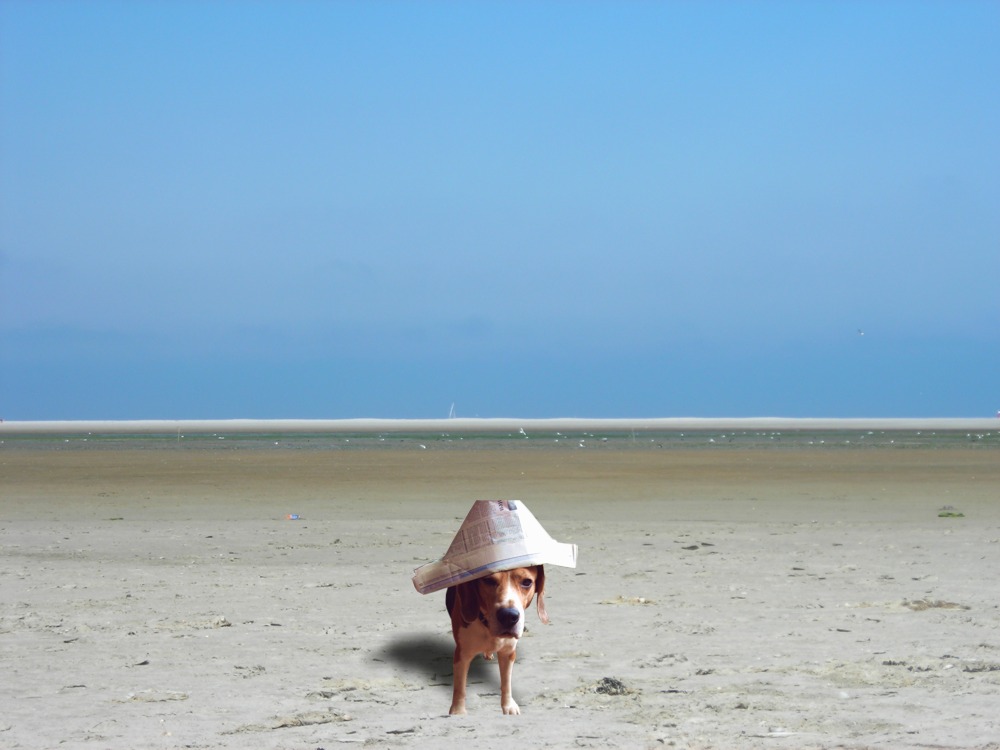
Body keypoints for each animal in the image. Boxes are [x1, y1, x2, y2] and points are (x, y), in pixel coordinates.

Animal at [448, 568, 552, 720]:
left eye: (527, 582)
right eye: (488, 580)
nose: (509, 616)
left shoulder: (508, 653)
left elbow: (506, 682)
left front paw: (508, 706)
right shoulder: (462, 655)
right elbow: (459, 687)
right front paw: (458, 712)